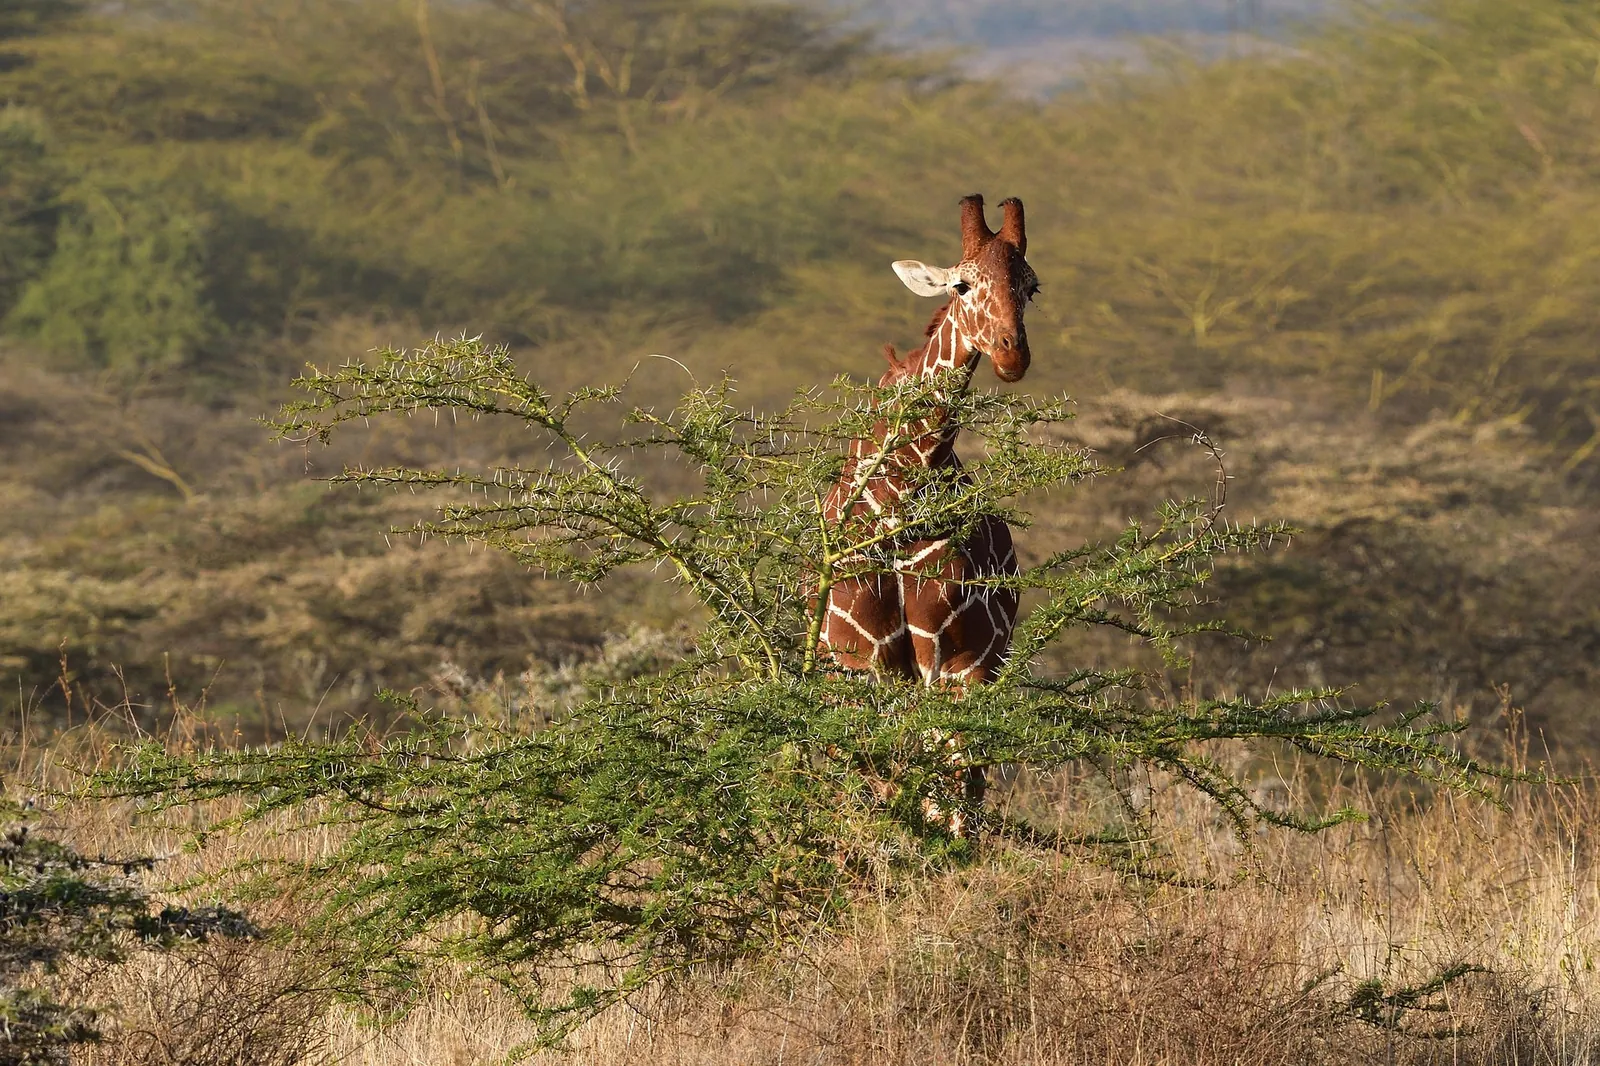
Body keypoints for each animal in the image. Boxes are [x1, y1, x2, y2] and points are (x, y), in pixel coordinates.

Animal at [818, 194, 1040, 830]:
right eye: (962, 285)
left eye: (1031, 286)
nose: (1013, 355)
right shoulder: (863, 659)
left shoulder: (962, 658)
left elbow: (950, 788)